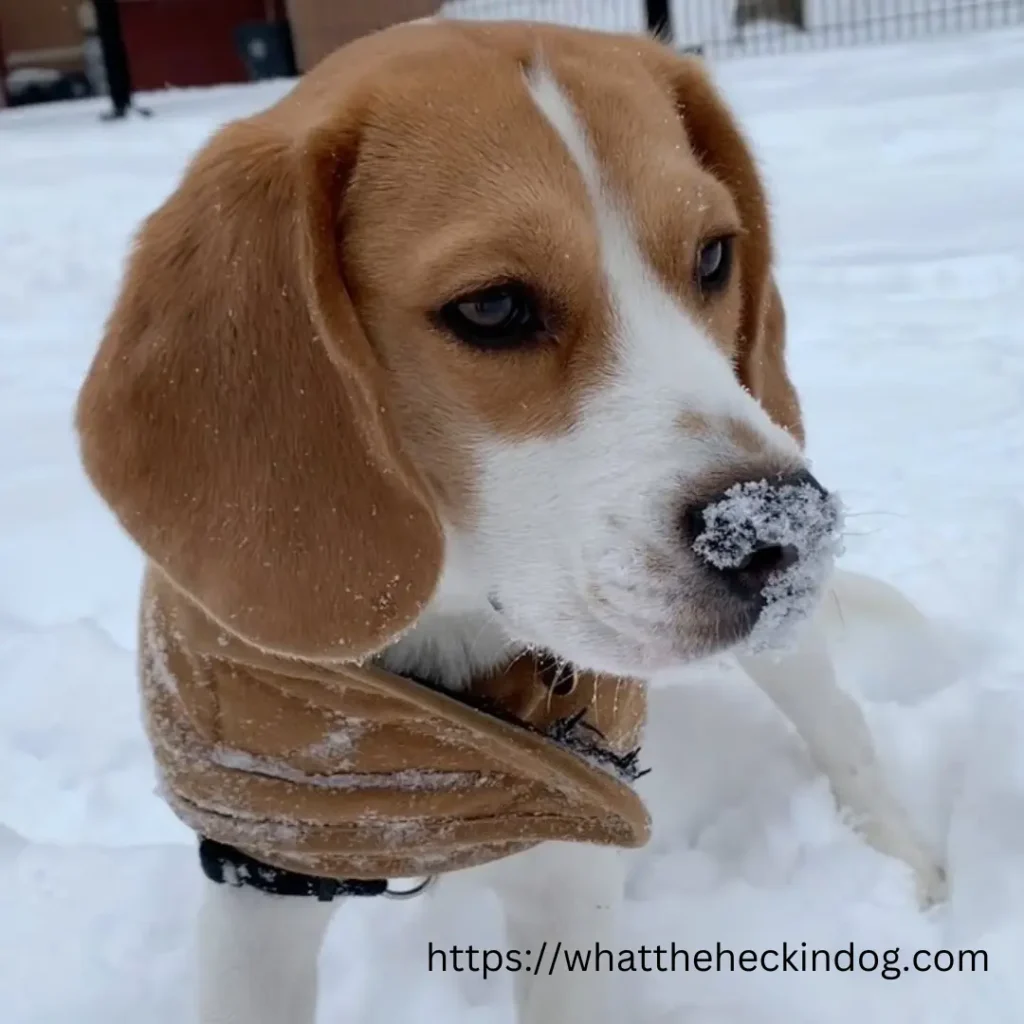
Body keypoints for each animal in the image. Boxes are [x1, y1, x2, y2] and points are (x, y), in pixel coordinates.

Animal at [74, 16, 942, 1024]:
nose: (781, 528)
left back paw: (906, 861)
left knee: (841, 728)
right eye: (491, 308)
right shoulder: (262, 871)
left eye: (714, 255)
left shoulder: (571, 858)